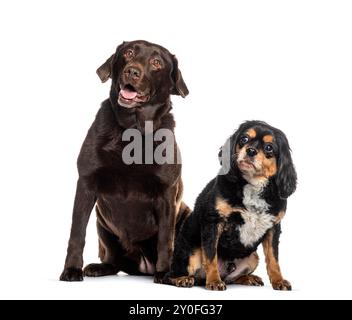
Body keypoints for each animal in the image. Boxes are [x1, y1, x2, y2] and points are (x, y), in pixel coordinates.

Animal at [59, 40, 190, 282]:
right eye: (128, 53)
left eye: (156, 62)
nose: (132, 71)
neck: (132, 130)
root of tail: (144, 268)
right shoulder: (86, 183)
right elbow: (77, 232)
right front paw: (71, 269)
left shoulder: (167, 192)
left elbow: (165, 238)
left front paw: (165, 273)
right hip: (102, 224)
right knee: (113, 259)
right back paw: (99, 267)